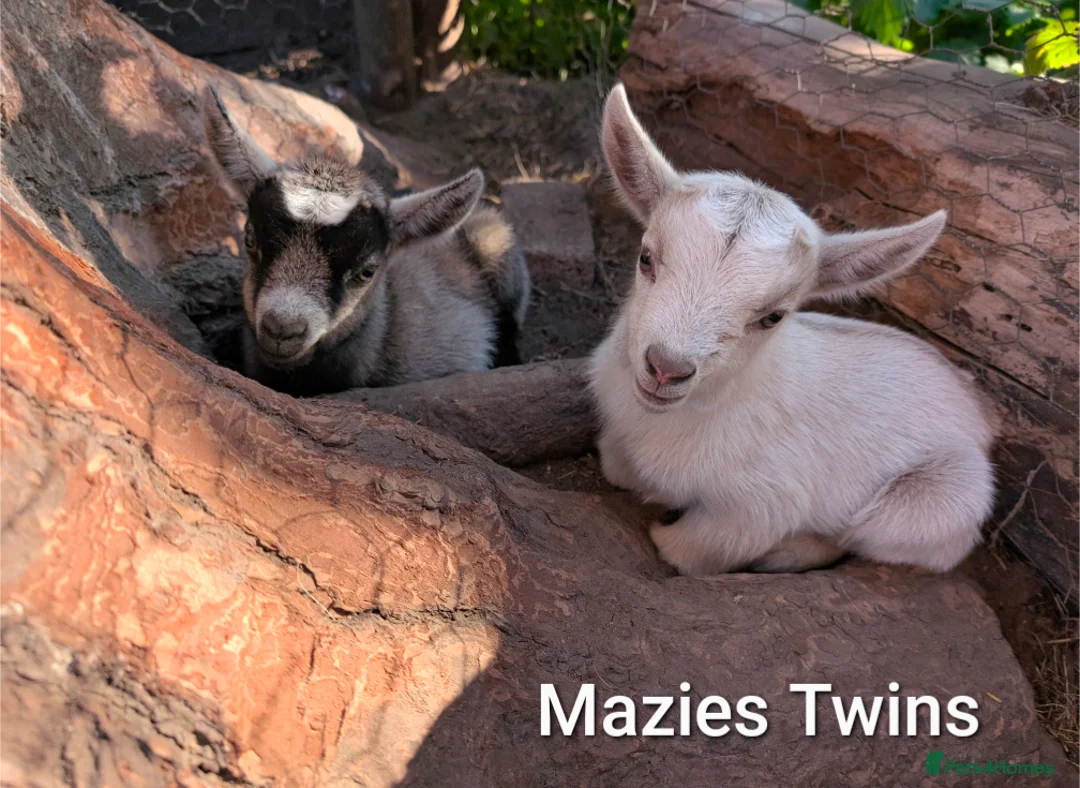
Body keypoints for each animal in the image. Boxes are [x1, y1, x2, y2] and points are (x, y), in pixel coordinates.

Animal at [589, 85, 995, 575]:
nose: (666, 368)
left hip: (940, 501)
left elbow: (689, 550)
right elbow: (615, 466)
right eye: (646, 258)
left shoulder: (758, 506)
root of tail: (980, 415)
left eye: (774, 316)